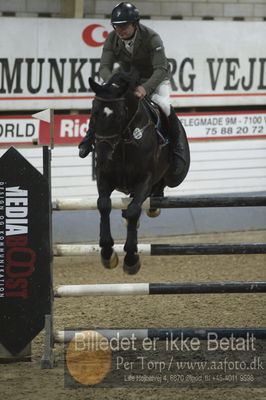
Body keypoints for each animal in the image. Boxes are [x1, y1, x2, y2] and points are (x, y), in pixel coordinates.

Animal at [89, 70, 189, 274]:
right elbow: (104, 205)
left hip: (175, 176)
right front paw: (107, 253)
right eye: (93, 113)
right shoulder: (104, 177)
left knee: (155, 191)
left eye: (119, 115)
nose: (102, 155)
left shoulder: (144, 179)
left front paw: (131, 259)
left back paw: (154, 204)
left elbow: (134, 211)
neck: (125, 140)